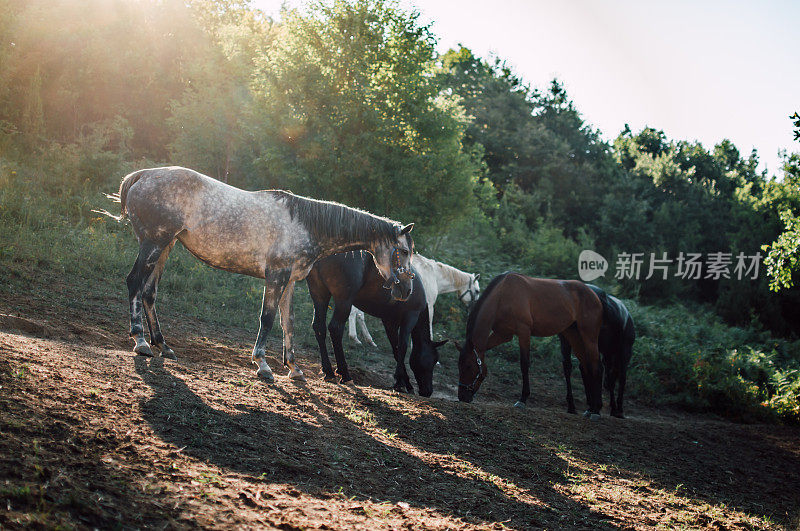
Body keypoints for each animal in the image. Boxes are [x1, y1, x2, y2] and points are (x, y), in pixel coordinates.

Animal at [120, 166, 418, 382]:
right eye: (404, 251)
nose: (406, 289)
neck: (306, 225)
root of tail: (142, 175)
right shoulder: (276, 276)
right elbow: (268, 318)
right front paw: (262, 364)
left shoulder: (290, 282)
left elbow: (289, 322)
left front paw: (294, 368)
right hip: (153, 244)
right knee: (134, 283)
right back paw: (141, 341)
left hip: (165, 247)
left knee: (149, 292)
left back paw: (163, 345)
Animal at [304, 251, 446, 396]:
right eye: (433, 360)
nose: (427, 391)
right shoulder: (410, 317)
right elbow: (402, 347)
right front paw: (401, 383)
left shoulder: (389, 322)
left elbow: (396, 349)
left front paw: (404, 381)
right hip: (343, 300)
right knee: (335, 329)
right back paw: (345, 374)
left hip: (319, 294)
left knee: (319, 327)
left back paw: (328, 372)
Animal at [346, 255, 478, 344]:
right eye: (477, 291)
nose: (473, 310)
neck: (434, 275)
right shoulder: (429, 306)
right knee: (355, 313)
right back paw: (355, 337)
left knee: (358, 313)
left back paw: (367, 340)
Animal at [454, 274, 604, 420]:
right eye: (459, 366)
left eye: (468, 366)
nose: (462, 396)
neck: (502, 295)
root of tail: (594, 294)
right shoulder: (503, 334)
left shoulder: (524, 331)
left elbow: (524, 364)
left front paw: (522, 399)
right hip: (573, 334)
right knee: (586, 366)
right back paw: (589, 408)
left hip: (589, 336)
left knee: (597, 366)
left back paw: (596, 410)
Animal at [560, 284, 636, 418]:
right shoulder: (623, 351)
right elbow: (619, 377)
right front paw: (616, 409)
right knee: (599, 369)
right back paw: (597, 408)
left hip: (575, 342)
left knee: (574, 367)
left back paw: (579, 407)